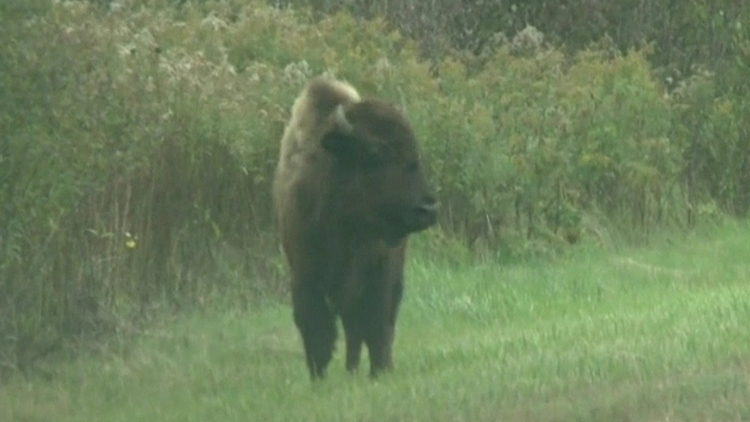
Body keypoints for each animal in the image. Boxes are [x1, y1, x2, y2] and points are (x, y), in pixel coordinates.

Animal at [274, 77, 440, 380]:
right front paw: (319, 377)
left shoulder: (380, 269)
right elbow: (316, 327)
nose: (428, 209)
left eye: (415, 149)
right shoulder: (306, 273)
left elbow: (376, 325)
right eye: (375, 152)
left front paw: (379, 372)